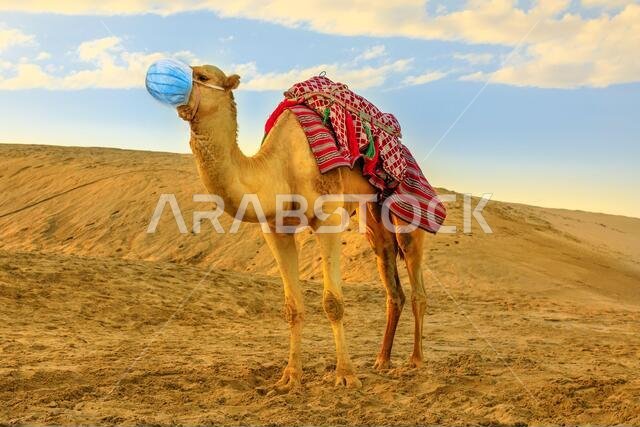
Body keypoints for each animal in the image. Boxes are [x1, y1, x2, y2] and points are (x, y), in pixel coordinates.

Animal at [175, 64, 428, 391]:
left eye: (203, 77)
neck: (280, 167)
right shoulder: (276, 230)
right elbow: (292, 307)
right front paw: (290, 377)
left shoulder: (328, 219)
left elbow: (333, 302)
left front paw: (345, 375)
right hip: (373, 214)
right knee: (391, 282)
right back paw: (382, 360)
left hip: (406, 205)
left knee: (415, 277)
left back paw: (415, 361)